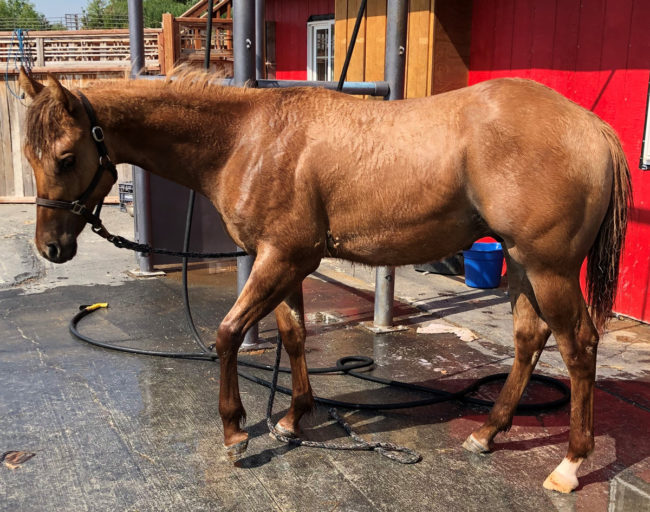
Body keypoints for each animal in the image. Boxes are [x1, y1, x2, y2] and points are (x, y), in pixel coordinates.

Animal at [18, 68, 630, 493]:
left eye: (67, 157)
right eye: (29, 154)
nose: (51, 248)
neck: (247, 138)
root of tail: (591, 126)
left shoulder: (280, 258)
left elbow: (227, 334)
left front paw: (236, 430)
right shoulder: (287, 261)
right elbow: (292, 336)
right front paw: (291, 419)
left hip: (548, 268)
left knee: (579, 347)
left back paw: (569, 465)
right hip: (522, 264)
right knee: (530, 339)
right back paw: (488, 432)